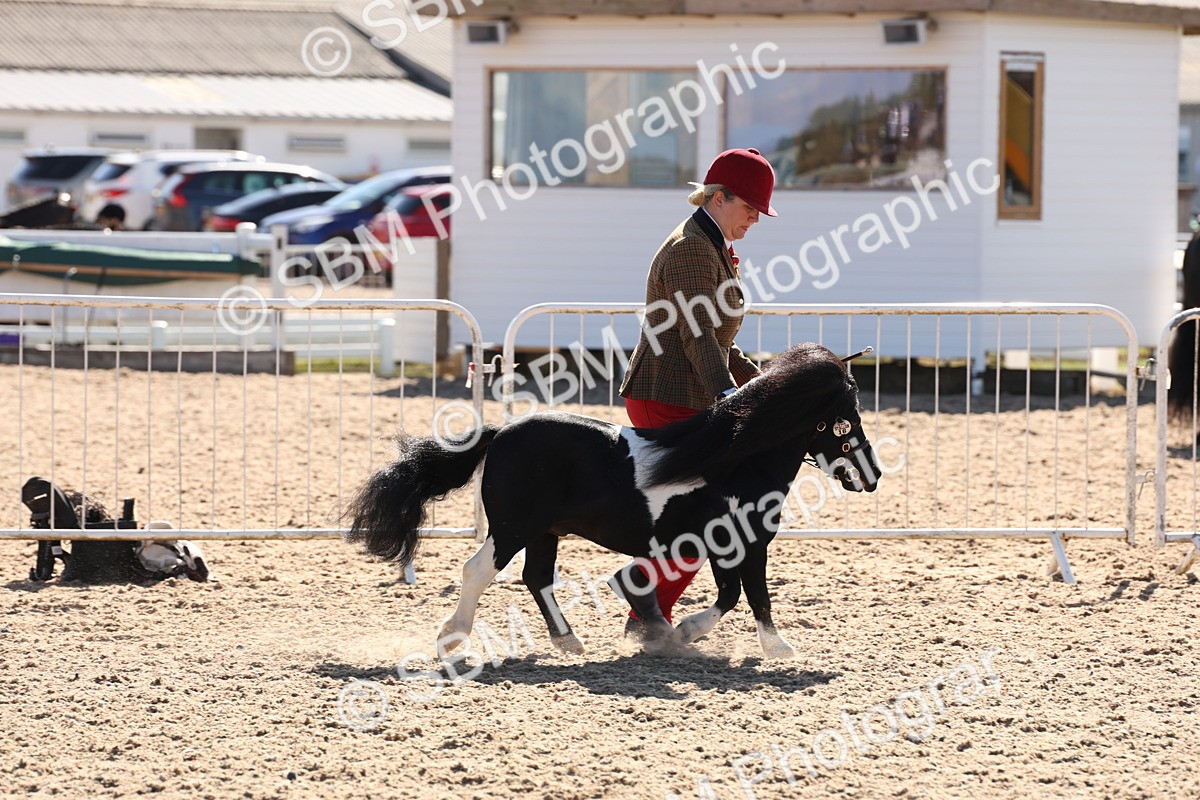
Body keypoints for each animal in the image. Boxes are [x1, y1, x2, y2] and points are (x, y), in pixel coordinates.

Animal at [345, 342, 881, 659]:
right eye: (847, 419)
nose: (871, 477)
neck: (740, 461)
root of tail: (500, 435)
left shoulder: (722, 546)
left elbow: (732, 594)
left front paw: (671, 631)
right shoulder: (743, 545)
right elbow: (749, 595)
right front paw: (775, 647)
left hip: (545, 532)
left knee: (536, 578)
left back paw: (569, 640)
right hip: (513, 527)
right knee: (478, 570)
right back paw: (452, 639)